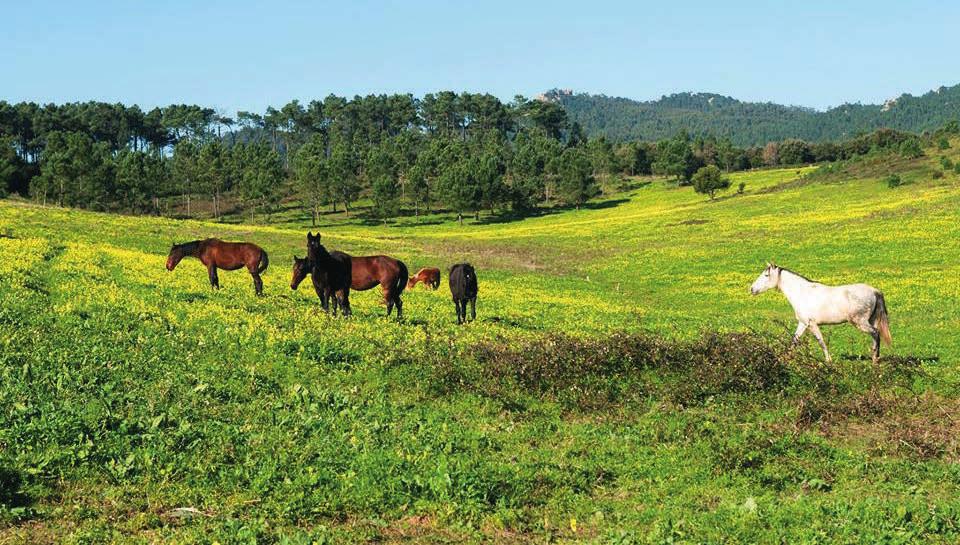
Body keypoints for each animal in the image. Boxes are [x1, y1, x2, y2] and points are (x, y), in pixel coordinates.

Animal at [752, 262, 892, 364]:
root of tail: (875, 291)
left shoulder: (811, 324)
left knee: (876, 333)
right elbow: (794, 340)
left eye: (766, 275)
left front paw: (828, 360)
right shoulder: (803, 323)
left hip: (860, 323)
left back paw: (875, 360)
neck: (802, 293)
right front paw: (784, 358)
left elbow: (821, 341)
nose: (752, 289)